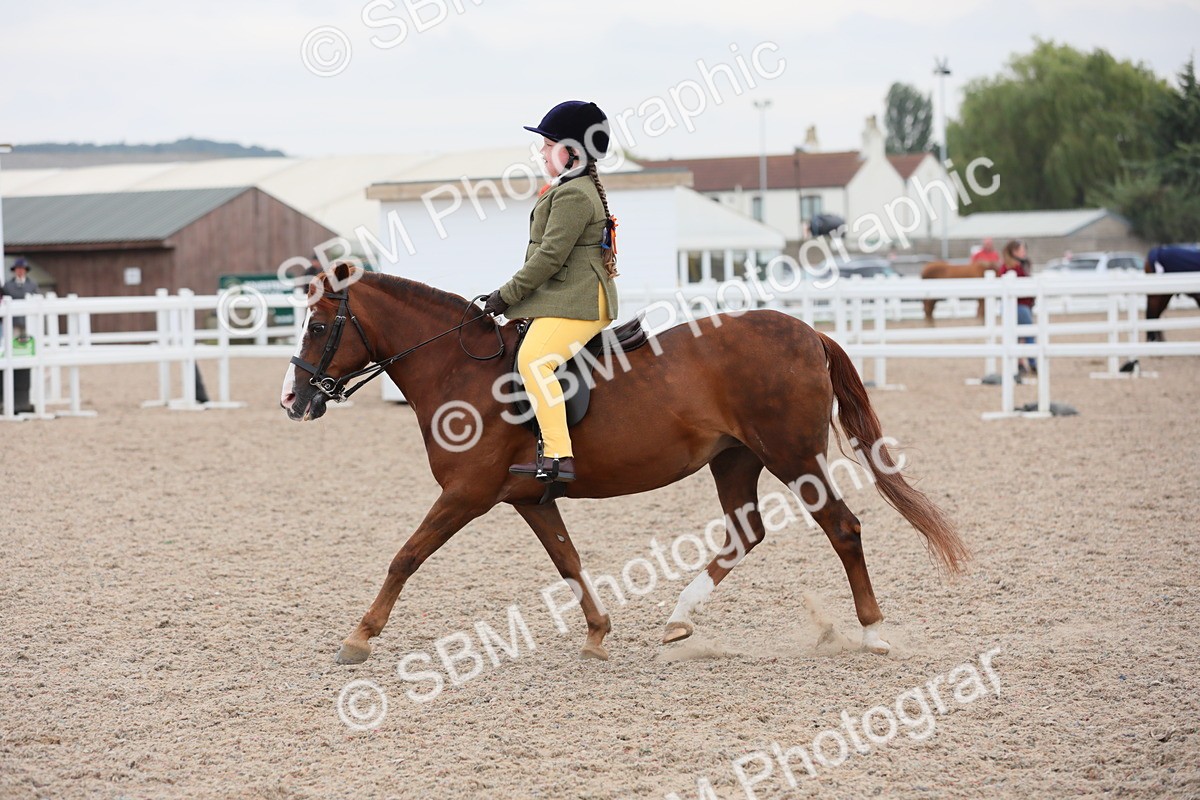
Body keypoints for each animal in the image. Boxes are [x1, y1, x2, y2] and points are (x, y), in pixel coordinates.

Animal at [280, 265, 968, 665]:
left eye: (317, 325)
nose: (293, 400)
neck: (458, 368)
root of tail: (806, 331)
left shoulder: (466, 494)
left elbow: (406, 555)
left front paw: (359, 636)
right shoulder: (527, 498)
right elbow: (568, 561)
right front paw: (597, 632)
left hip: (792, 457)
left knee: (843, 529)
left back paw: (873, 634)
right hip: (736, 460)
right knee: (745, 533)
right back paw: (678, 621)